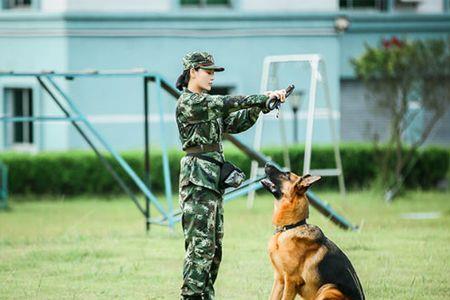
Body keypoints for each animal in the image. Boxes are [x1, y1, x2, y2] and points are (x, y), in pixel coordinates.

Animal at [260, 164, 366, 300]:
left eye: (286, 174)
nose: (267, 163)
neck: (290, 227)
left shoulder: (291, 280)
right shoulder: (279, 280)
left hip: (328, 288)